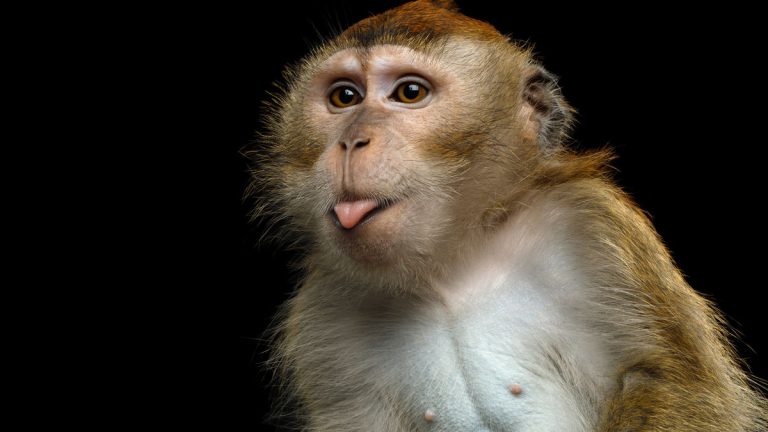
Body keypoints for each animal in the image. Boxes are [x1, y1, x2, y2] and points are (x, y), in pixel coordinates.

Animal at [248, 1, 768, 430]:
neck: (451, 267)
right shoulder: (324, 314)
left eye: (409, 92)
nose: (352, 141)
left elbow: (669, 383)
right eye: (344, 98)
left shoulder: (592, 228)